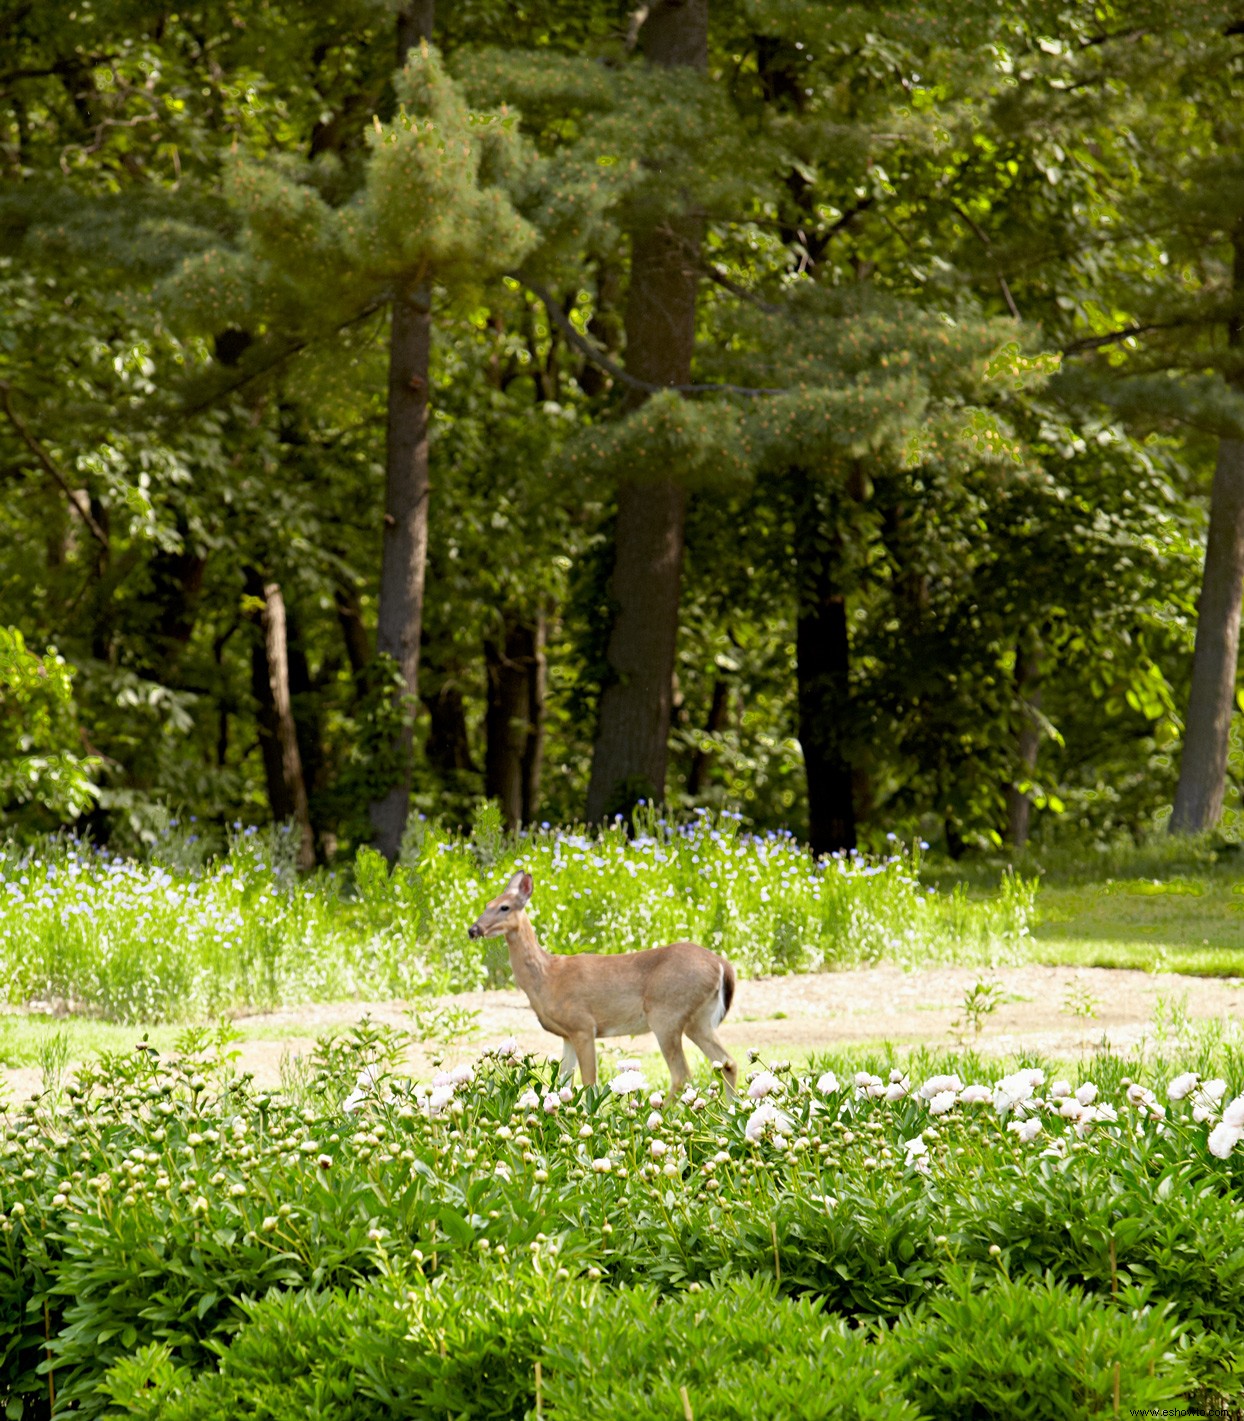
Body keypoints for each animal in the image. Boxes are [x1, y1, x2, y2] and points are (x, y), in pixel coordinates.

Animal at [469, 863, 739, 1097]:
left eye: (504, 907)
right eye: (487, 904)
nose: (473, 930)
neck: (547, 978)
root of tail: (722, 964)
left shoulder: (583, 1025)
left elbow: (589, 1083)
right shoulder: (567, 1034)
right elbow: (563, 1084)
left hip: (667, 1014)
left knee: (682, 1075)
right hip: (699, 1018)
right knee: (728, 1063)